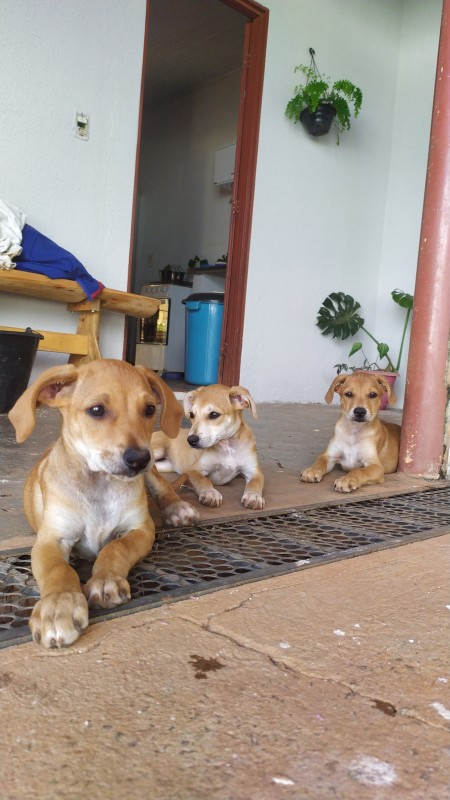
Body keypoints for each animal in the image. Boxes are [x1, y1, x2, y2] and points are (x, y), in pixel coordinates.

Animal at [8, 360, 197, 648]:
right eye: (96, 410)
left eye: (149, 409)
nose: (139, 459)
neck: (100, 484)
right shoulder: (51, 538)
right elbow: (58, 570)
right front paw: (58, 607)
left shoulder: (141, 528)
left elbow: (115, 548)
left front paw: (106, 581)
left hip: (153, 474)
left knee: (163, 487)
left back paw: (178, 508)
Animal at [152, 382, 264, 510]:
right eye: (192, 415)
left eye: (214, 414)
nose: (190, 440)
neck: (227, 447)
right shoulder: (194, 470)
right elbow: (204, 480)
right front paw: (210, 492)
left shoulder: (254, 471)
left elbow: (255, 483)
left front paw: (253, 496)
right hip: (157, 450)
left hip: (166, 465)